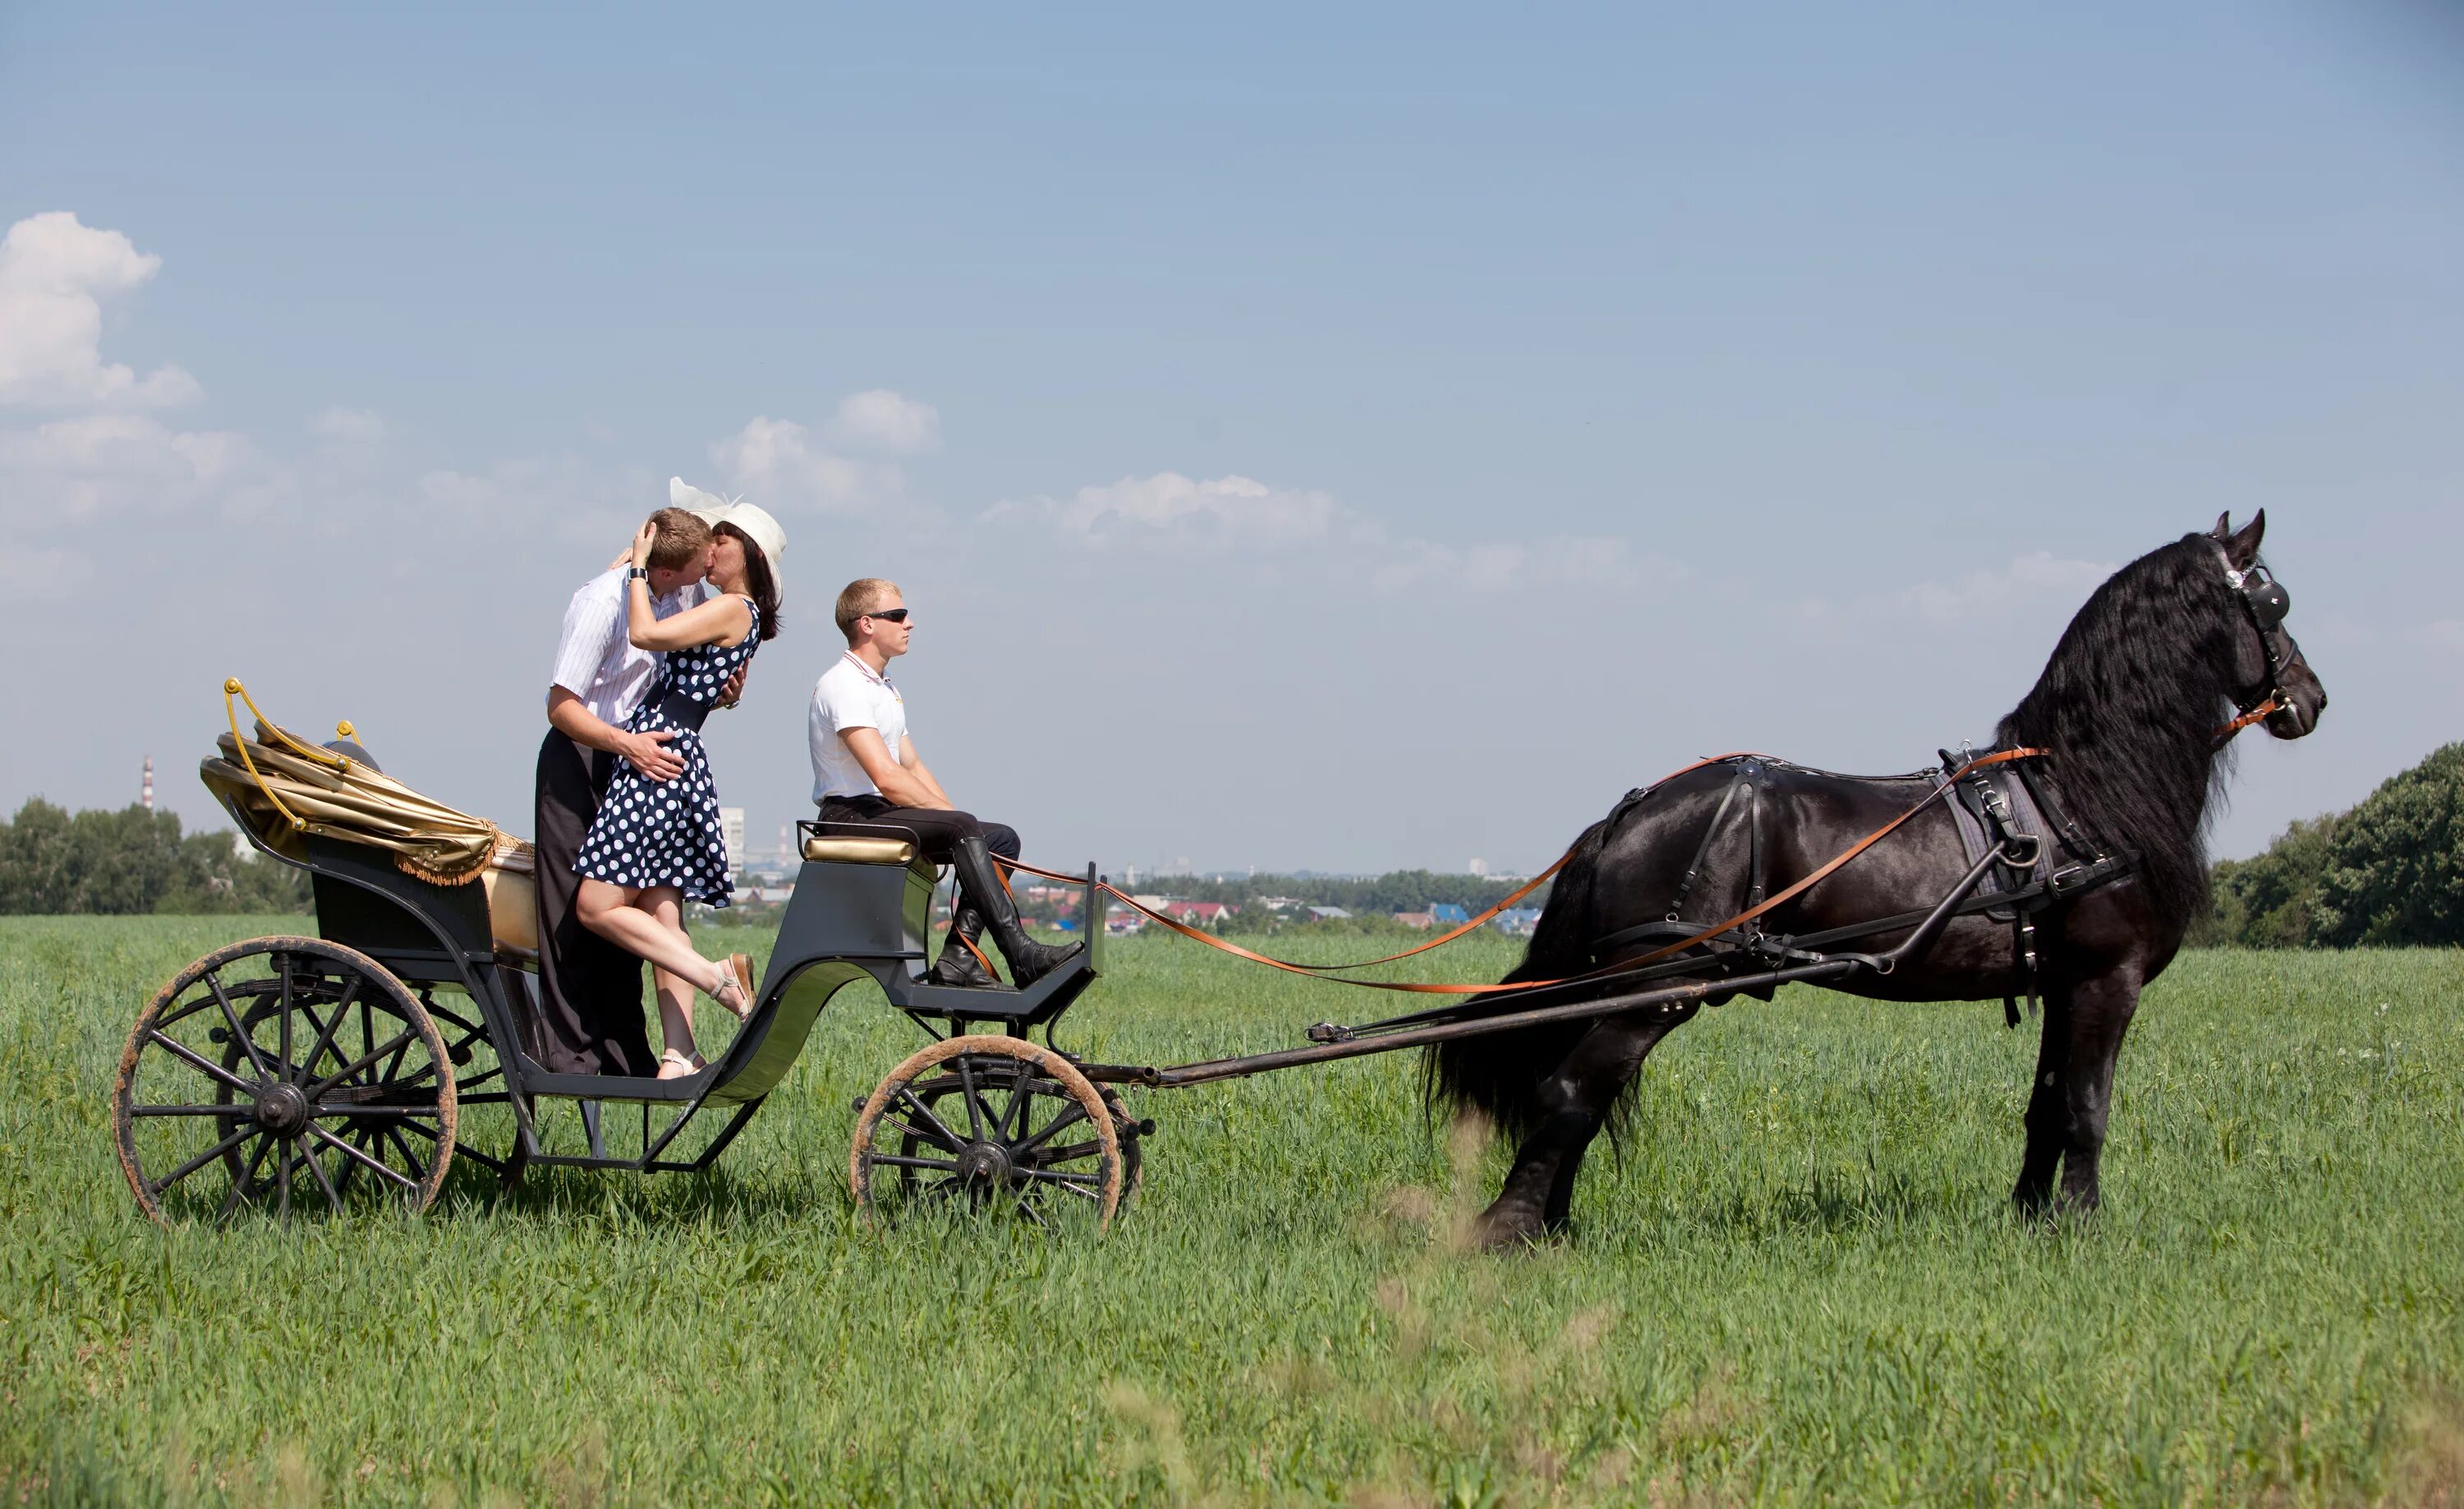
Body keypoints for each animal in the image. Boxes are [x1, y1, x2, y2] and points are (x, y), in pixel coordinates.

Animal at [1439, 513, 2316, 1242]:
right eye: (2272, 600)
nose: (2312, 699)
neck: (2080, 795)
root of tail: (1628, 811)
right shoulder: (2109, 978)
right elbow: (2086, 1107)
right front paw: (2081, 1226)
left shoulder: (2062, 982)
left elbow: (2045, 1105)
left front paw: (2031, 1218)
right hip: (1660, 987)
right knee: (1567, 1091)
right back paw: (1508, 1231)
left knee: (1580, 1096)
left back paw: (1553, 1226)